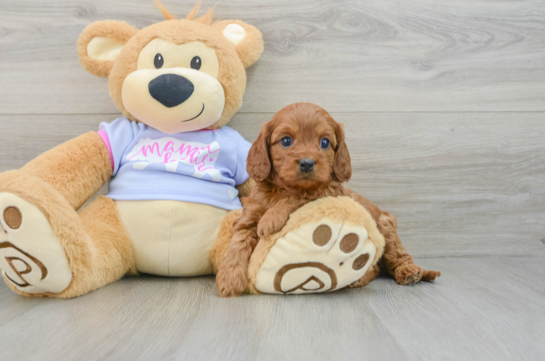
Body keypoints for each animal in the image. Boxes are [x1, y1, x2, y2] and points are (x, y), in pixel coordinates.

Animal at [215, 102, 440, 296]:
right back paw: (359, 278)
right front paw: (229, 279)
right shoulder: (250, 215)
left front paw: (271, 219)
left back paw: (409, 272)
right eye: (286, 140)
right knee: (376, 269)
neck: (283, 189)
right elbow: (238, 241)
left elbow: (297, 198)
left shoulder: (326, 192)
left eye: (324, 142)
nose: (307, 163)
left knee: (397, 257)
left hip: (386, 227)